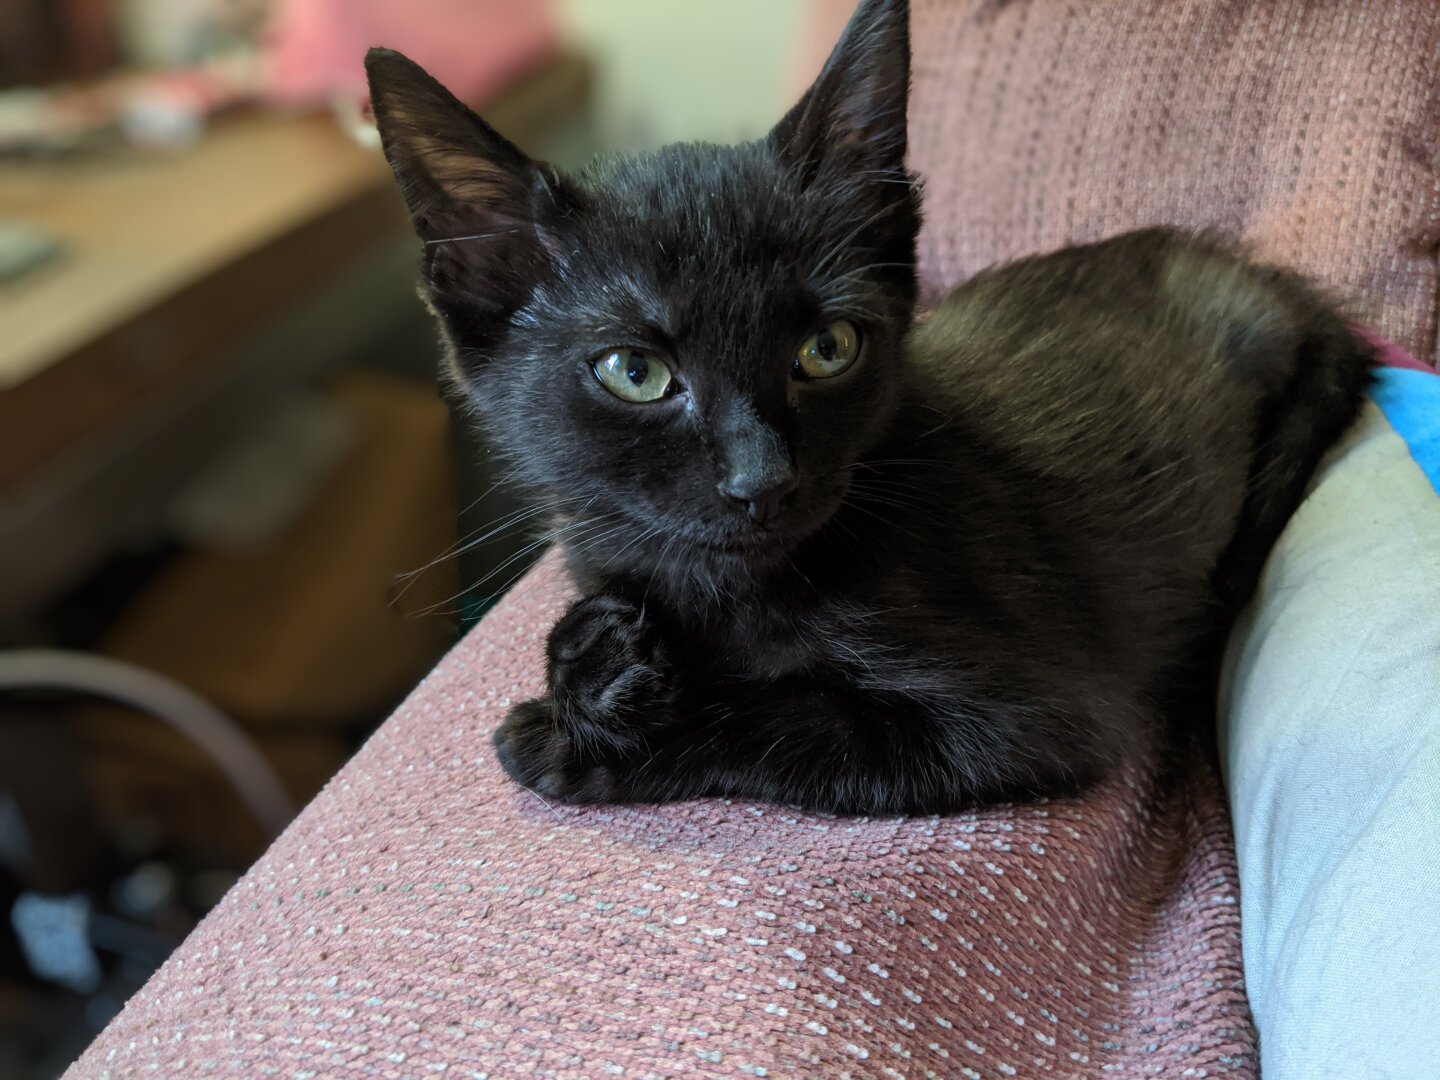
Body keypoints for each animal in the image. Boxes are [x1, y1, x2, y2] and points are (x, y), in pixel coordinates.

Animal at [368, 0, 1370, 812]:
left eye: (828, 348)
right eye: (634, 372)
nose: (763, 481)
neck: (727, 589)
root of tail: (1272, 282)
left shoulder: (1040, 715)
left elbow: (796, 724)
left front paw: (584, 731)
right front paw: (595, 661)